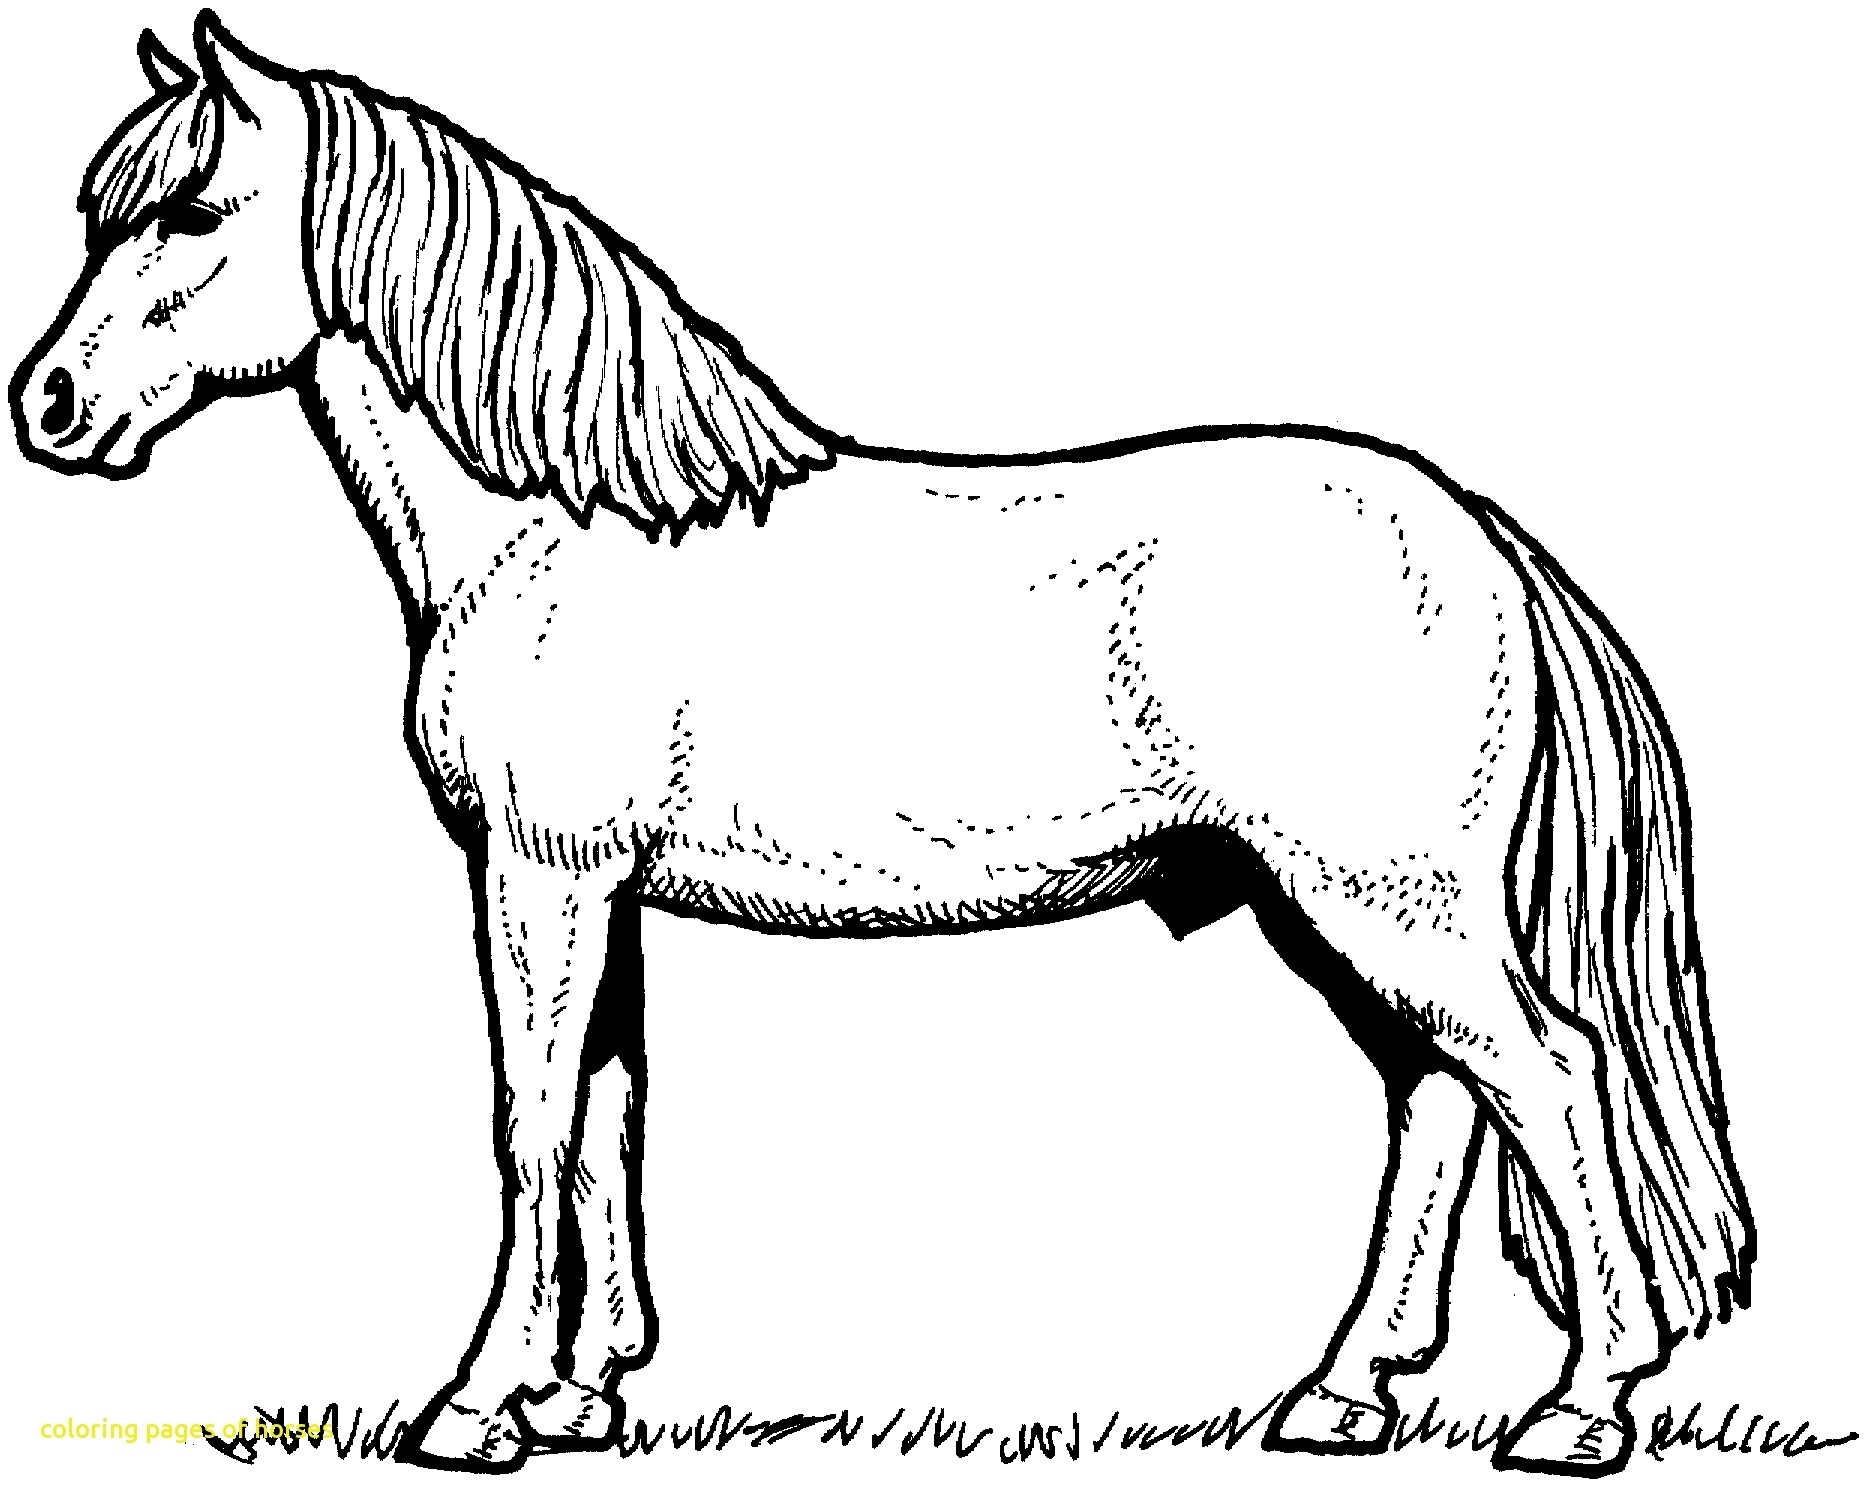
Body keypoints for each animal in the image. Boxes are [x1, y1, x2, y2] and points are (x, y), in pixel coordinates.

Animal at [13, 12, 1752, 1477]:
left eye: (191, 214)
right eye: (104, 212)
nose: (49, 405)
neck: (558, 530)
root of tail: (1470, 531)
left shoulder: (542, 874)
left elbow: (528, 1121)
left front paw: (474, 1407)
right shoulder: (598, 889)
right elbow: (604, 1117)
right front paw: (580, 1394)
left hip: (1382, 897)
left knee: (1549, 1076)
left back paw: (1579, 1408)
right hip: (1338, 906)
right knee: (1438, 1097)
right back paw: (1342, 1395)